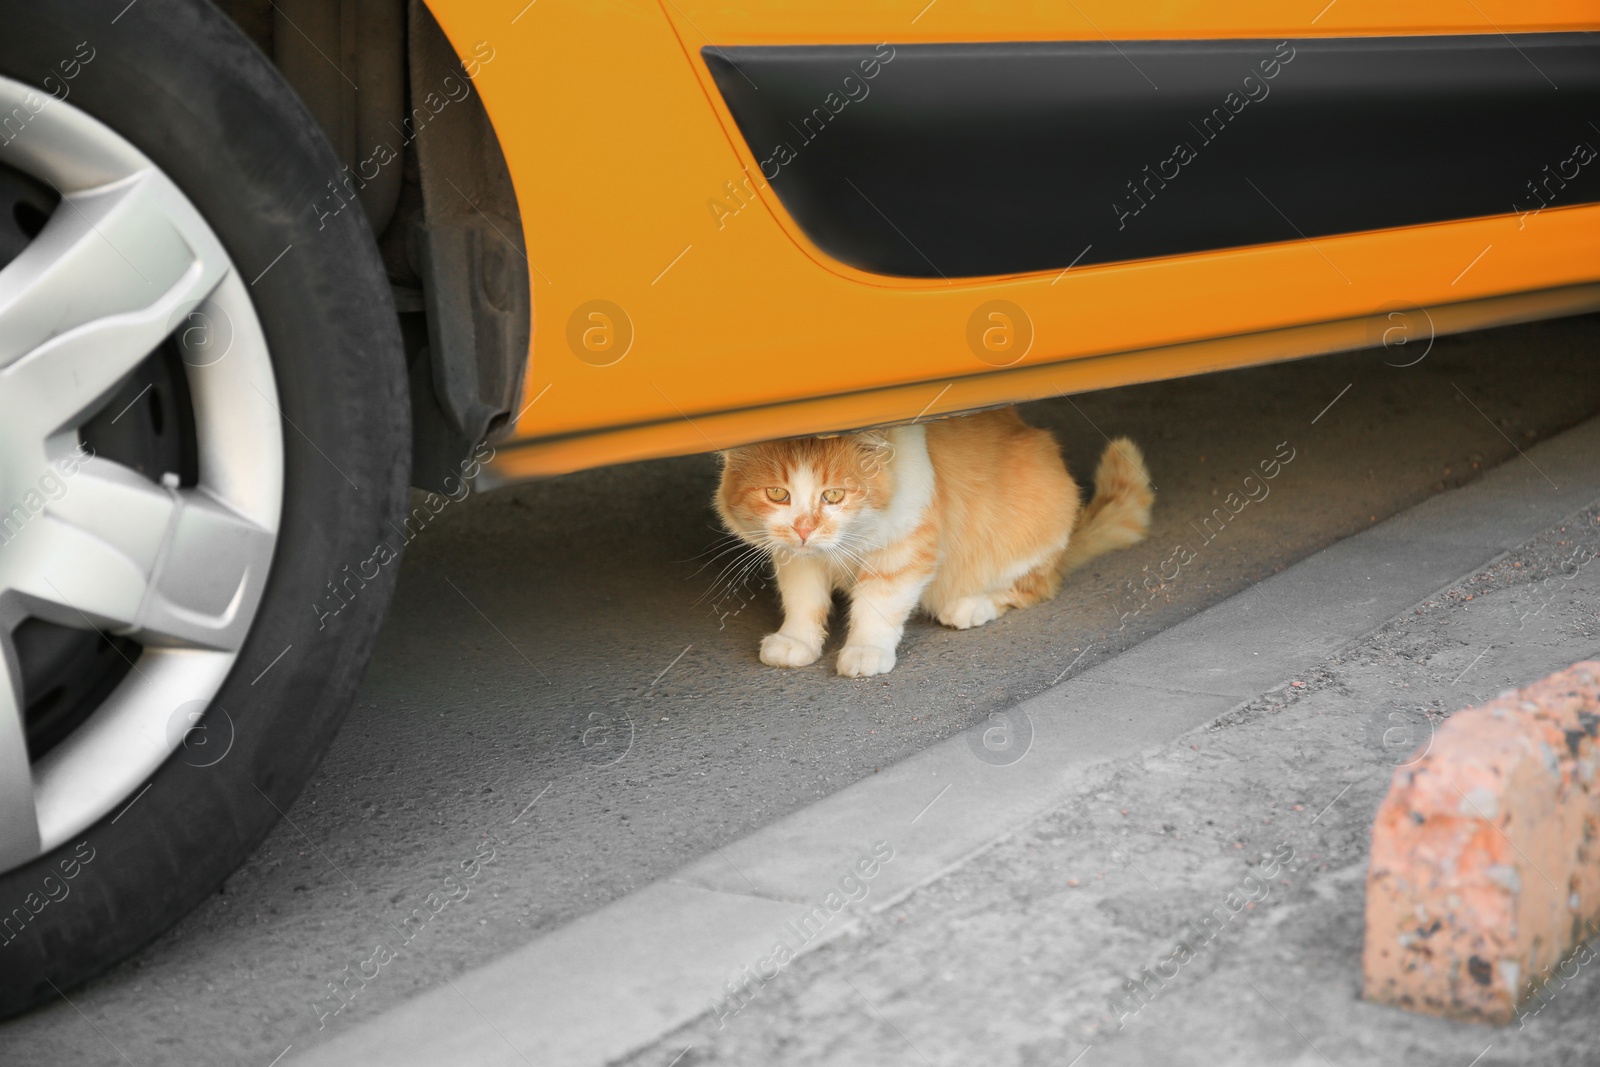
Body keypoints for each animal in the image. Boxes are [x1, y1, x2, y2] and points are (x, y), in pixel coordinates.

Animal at [716, 406, 1152, 675]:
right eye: (777, 494)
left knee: (1035, 587)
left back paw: (970, 605)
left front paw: (866, 650)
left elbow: (877, 605)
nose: (805, 528)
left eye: (834, 495)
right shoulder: (796, 556)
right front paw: (797, 641)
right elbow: (803, 601)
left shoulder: (905, 550)